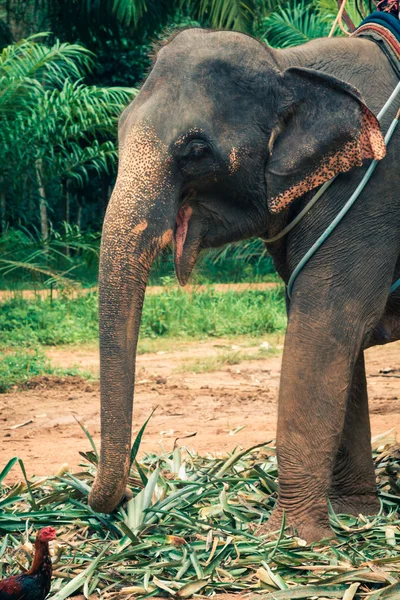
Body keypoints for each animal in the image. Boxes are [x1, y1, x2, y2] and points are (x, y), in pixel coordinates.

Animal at [88, 25, 400, 540]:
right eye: (119, 128)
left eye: (196, 150)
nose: (131, 494)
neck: (288, 63)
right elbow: (335, 337)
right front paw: (355, 517)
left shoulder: (373, 190)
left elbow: (327, 321)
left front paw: (291, 540)